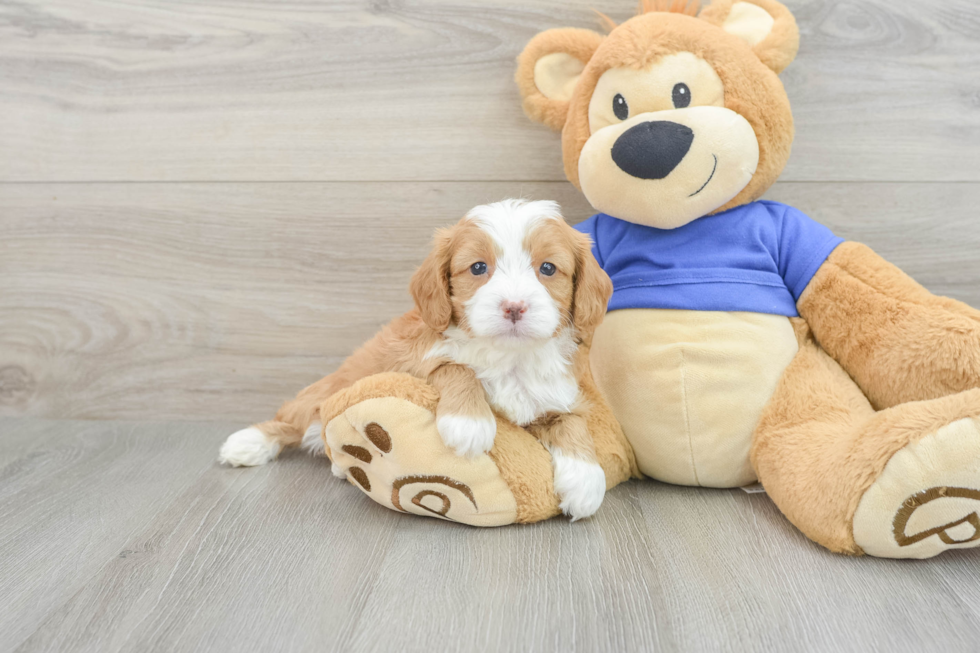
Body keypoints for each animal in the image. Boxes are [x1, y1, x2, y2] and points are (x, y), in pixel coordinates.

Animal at [220, 199, 612, 520]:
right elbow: (455, 367)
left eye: (548, 268)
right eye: (477, 267)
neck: (508, 356)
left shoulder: (554, 394)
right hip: (328, 389)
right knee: (291, 419)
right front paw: (469, 423)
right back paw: (248, 443)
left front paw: (585, 481)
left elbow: (573, 421)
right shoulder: (413, 363)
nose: (514, 307)